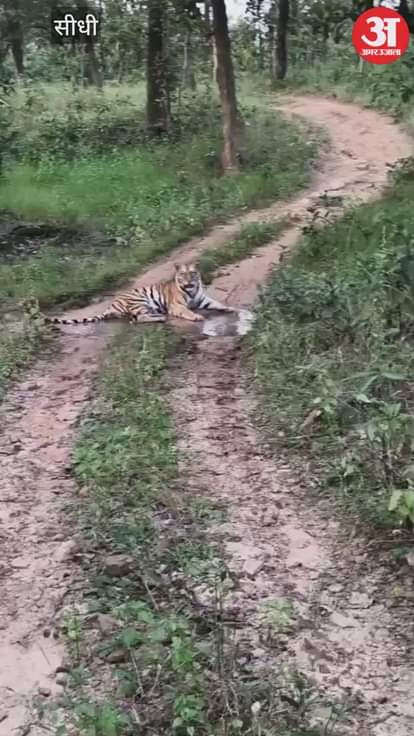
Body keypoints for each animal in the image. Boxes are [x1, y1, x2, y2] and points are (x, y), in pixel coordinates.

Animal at [41, 263, 234, 327]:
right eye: (183, 275)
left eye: (192, 273)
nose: (188, 282)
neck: (192, 290)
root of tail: (110, 305)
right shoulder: (177, 306)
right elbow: (188, 311)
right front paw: (196, 317)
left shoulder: (204, 299)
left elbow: (218, 304)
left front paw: (230, 308)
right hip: (140, 301)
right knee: (139, 319)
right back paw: (161, 318)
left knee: (135, 319)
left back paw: (159, 316)